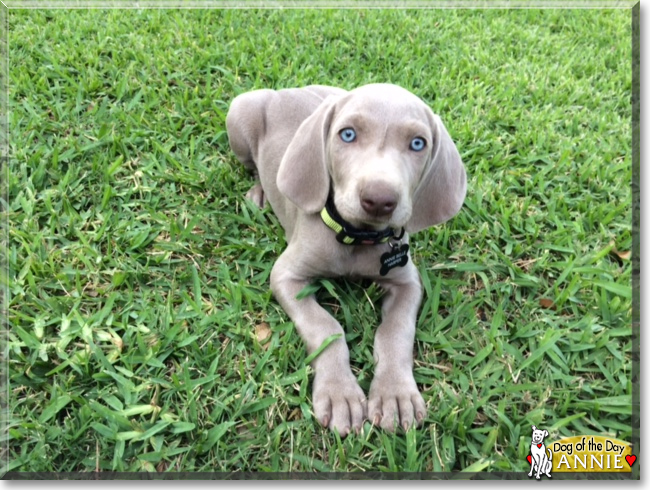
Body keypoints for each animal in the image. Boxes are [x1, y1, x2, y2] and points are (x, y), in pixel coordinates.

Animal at [225, 84, 464, 436]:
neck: (357, 236)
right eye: (347, 134)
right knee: (252, 166)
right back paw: (259, 193)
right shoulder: (286, 276)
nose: (379, 199)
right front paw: (340, 395)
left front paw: (394, 395)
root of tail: (288, 89)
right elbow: (325, 326)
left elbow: (395, 332)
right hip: (239, 112)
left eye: (418, 143)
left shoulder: (407, 282)